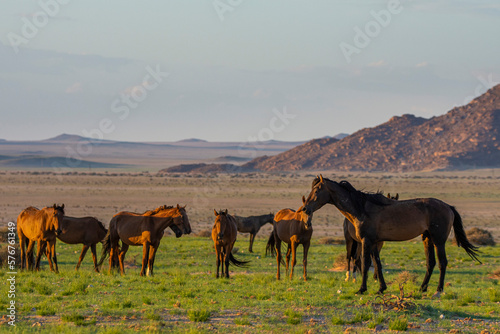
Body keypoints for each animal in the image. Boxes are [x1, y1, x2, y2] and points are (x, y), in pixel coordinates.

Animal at [302, 175, 478, 294]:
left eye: (317, 190)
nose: (305, 209)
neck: (361, 208)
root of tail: (448, 206)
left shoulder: (366, 241)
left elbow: (365, 264)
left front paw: (362, 289)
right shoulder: (374, 242)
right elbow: (377, 264)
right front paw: (381, 288)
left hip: (438, 241)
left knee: (442, 263)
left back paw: (438, 290)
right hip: (427, 238)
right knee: (431, 263)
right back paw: (422, 288)